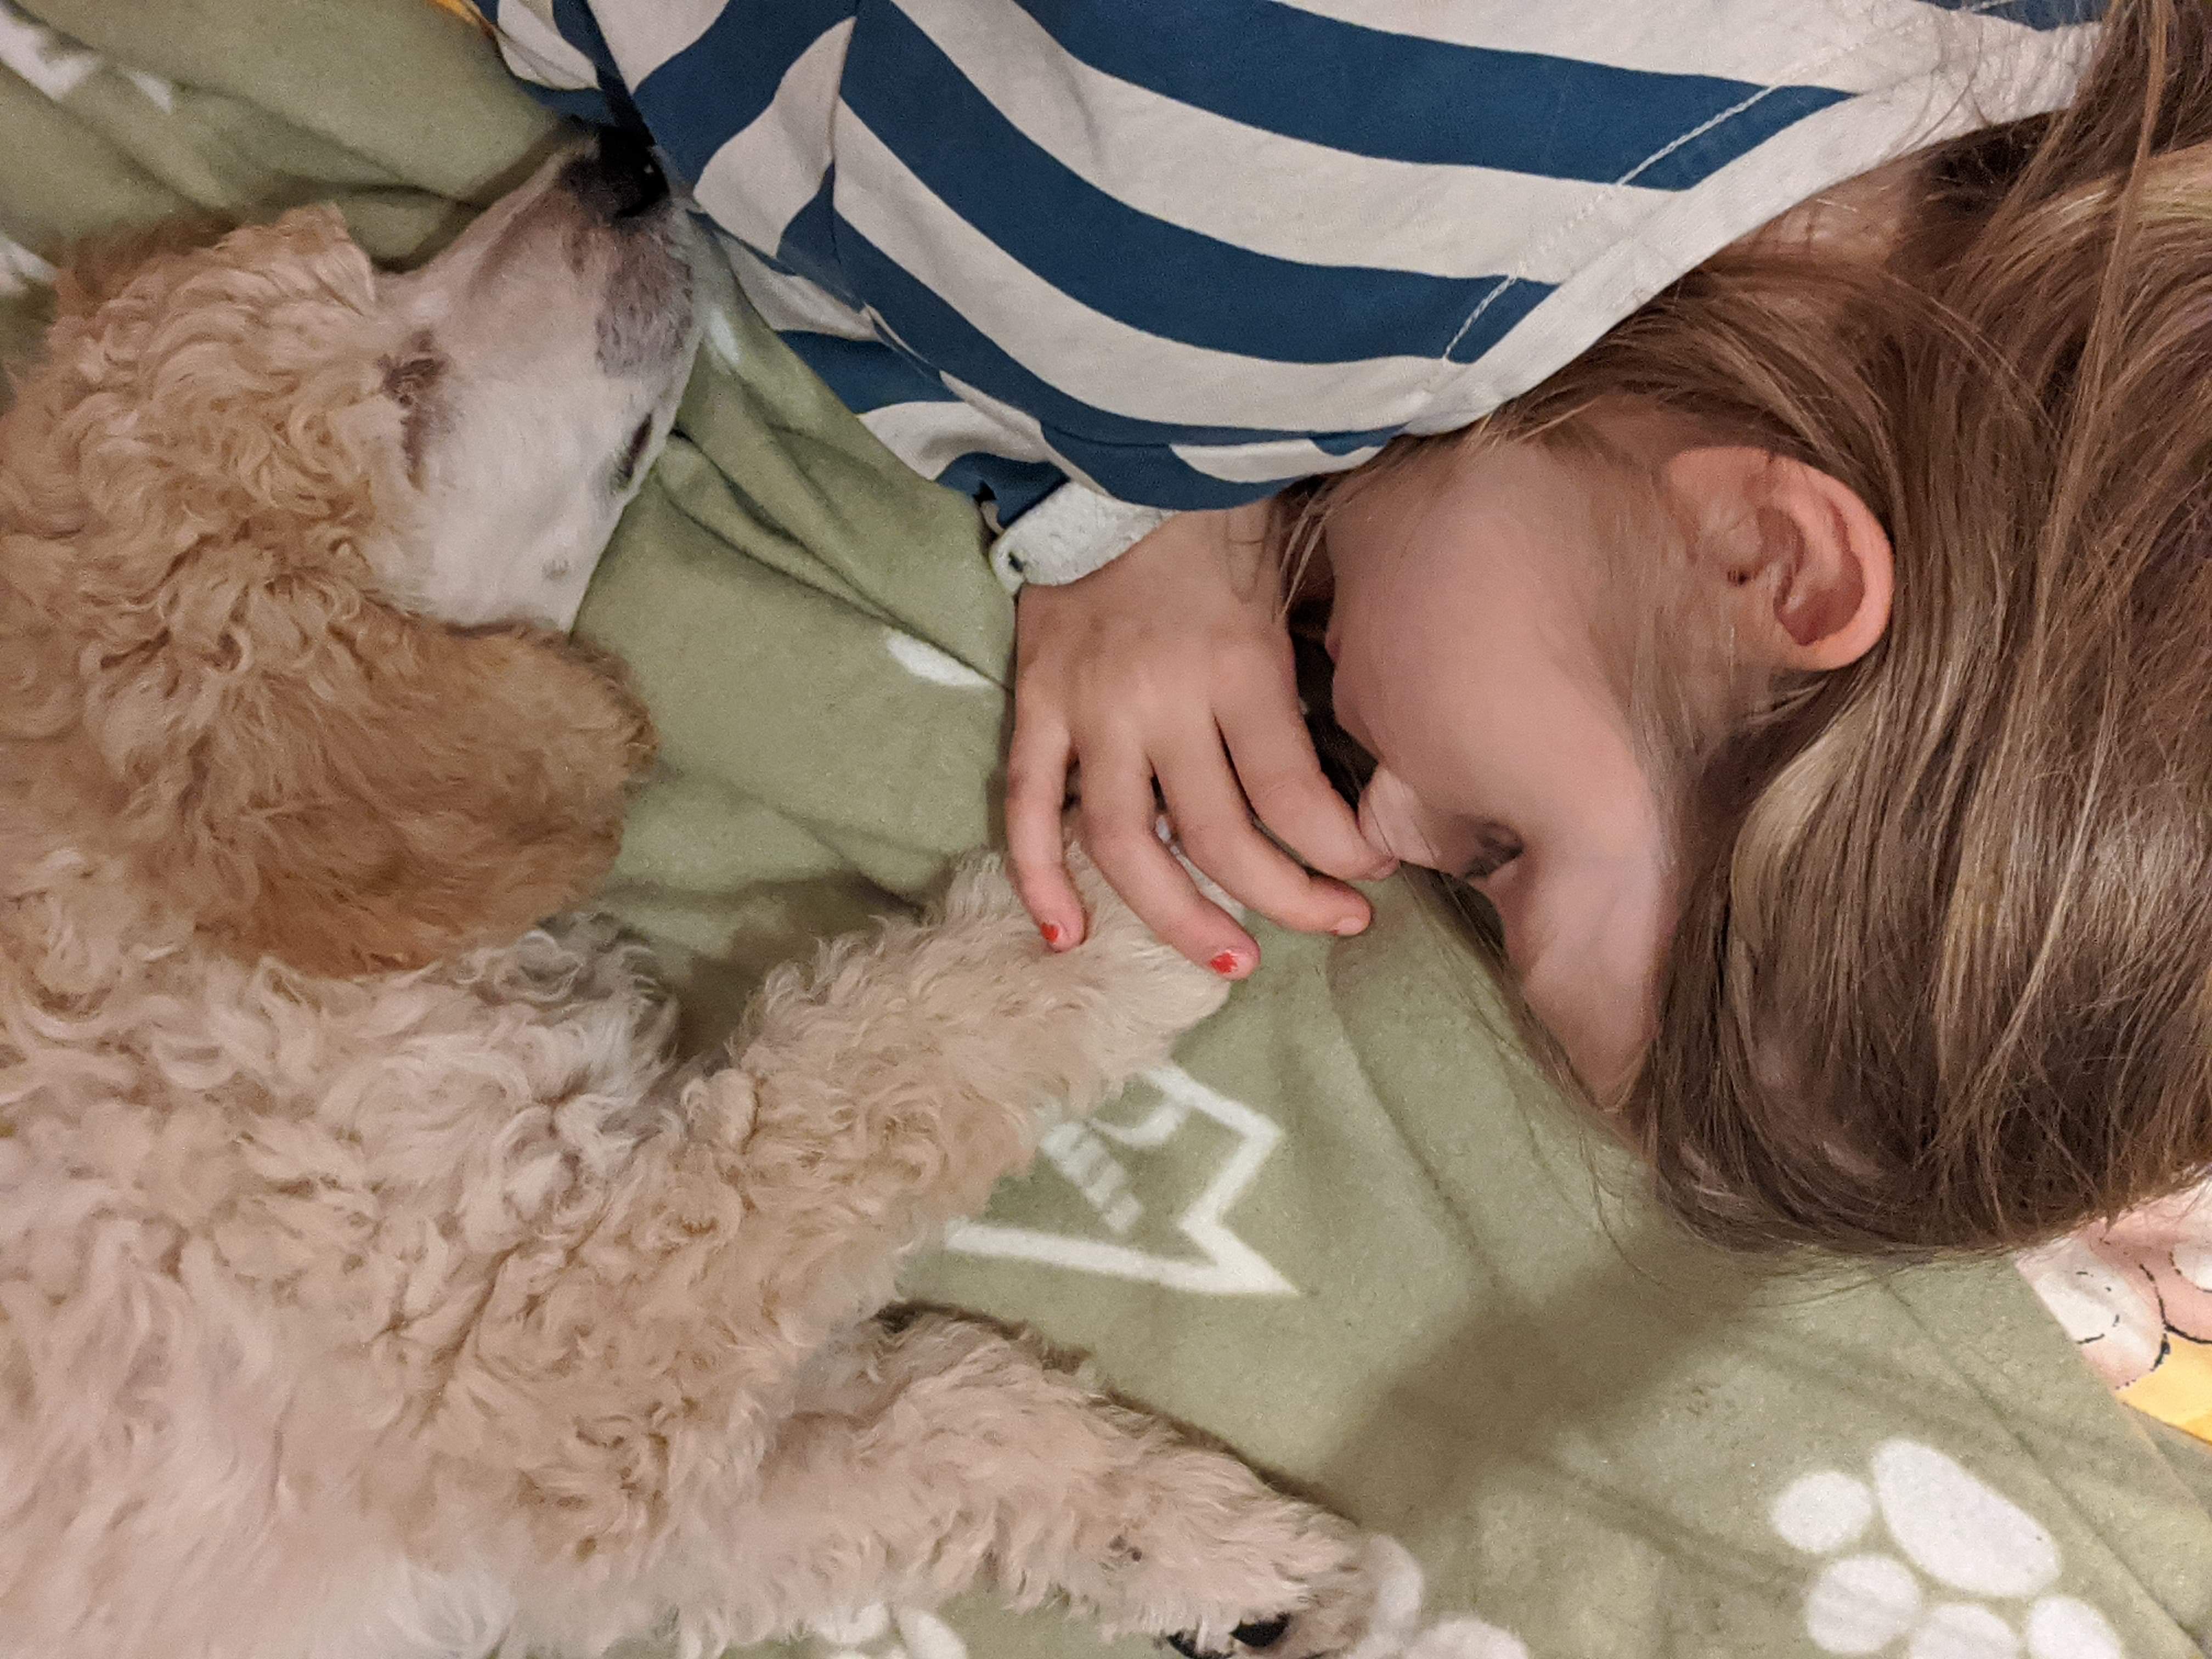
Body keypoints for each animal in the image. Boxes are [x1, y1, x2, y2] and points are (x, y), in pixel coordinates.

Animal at [0, 132, 1367, 1659]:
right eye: (405, 400)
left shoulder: (596, 1511)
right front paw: (1128, 886)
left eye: (388, 268)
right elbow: (851, 1084)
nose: (618, 151)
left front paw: (1225, 1561)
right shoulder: (528, 1354)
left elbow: (943, 1414)